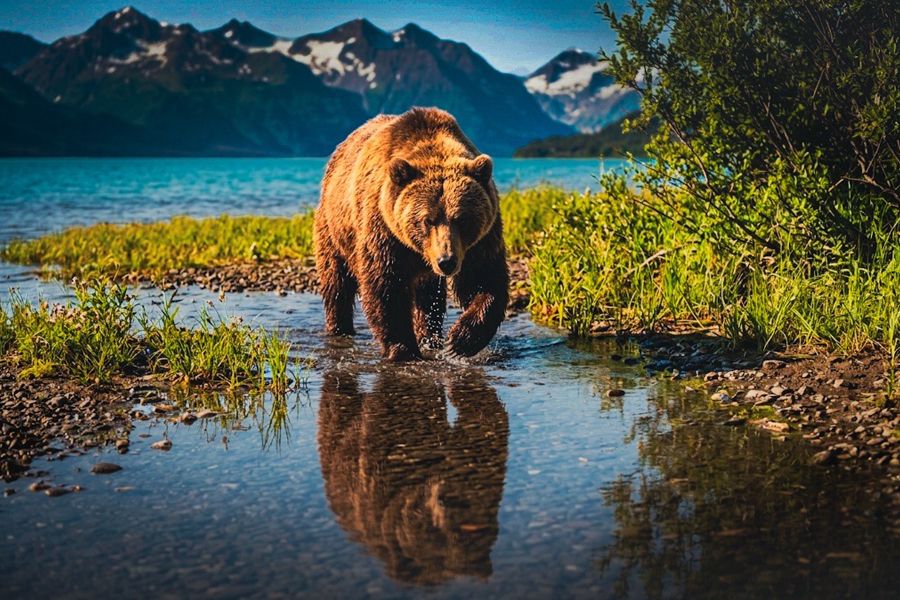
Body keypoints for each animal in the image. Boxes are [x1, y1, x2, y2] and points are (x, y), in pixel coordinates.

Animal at [314, 107, 509, 361]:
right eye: (427, 220)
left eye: (461, 219)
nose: (446, 261)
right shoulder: (384, 231)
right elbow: (386, 285)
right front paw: (403, 349)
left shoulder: (480, 241)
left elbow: (484, 279)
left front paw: (459, 340)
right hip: (334, 229)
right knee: (336, 283)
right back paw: (339, 328)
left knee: (428, 298)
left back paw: (430, 337)